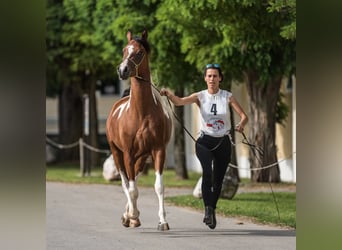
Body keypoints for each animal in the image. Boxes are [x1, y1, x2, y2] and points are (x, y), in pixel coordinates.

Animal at [105, 29, 174, 230]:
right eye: (124, 50)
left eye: (140, 52)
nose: (122, 70)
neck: (141, 114)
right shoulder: (128, 153)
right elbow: (131, 188)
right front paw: (133, 216)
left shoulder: (158, 151)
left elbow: (158, 186)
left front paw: (163, 221)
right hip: (117, 153)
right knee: (125, 183)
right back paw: (130, 216)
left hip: (141, 157)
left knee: (132, 179)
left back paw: (129, 215)